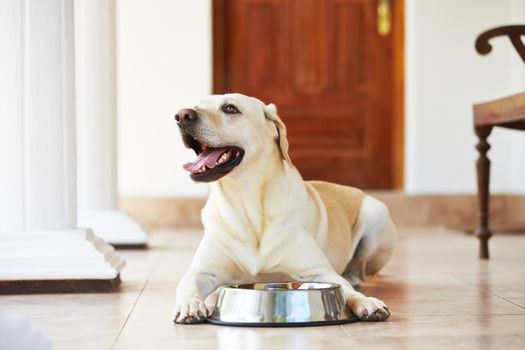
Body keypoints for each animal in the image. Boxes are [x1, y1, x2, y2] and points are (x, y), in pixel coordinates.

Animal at [174, 93, 396, 322]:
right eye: (197, 105)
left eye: (230, 108)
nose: (182, 115)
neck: (247, 203)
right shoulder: (201, 272)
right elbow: (186, 285)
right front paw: (190, 304)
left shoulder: (319, 271)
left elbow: (346, 289)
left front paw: (366, 302)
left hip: (377, 215)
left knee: (357, 274)